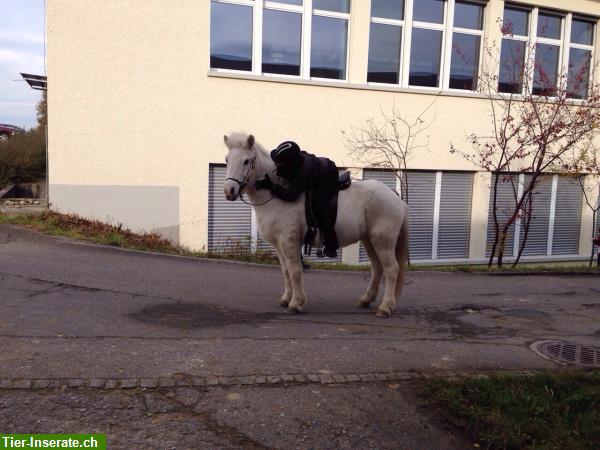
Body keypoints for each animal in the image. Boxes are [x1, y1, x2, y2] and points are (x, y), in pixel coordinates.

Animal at [223, 132, 410, 318]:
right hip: (369, 240)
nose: (229, 191)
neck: (276, 196)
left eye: (246, 161)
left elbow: (295, 271)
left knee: (391, 269)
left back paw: (385, 307)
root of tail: (394, 196)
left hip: (383, 242)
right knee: (377, 268)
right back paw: (366, 300)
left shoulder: (289, 242)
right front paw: (286, 299)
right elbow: (286, 272)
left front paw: (296, 303)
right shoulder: (278, 245)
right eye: (226, 159)